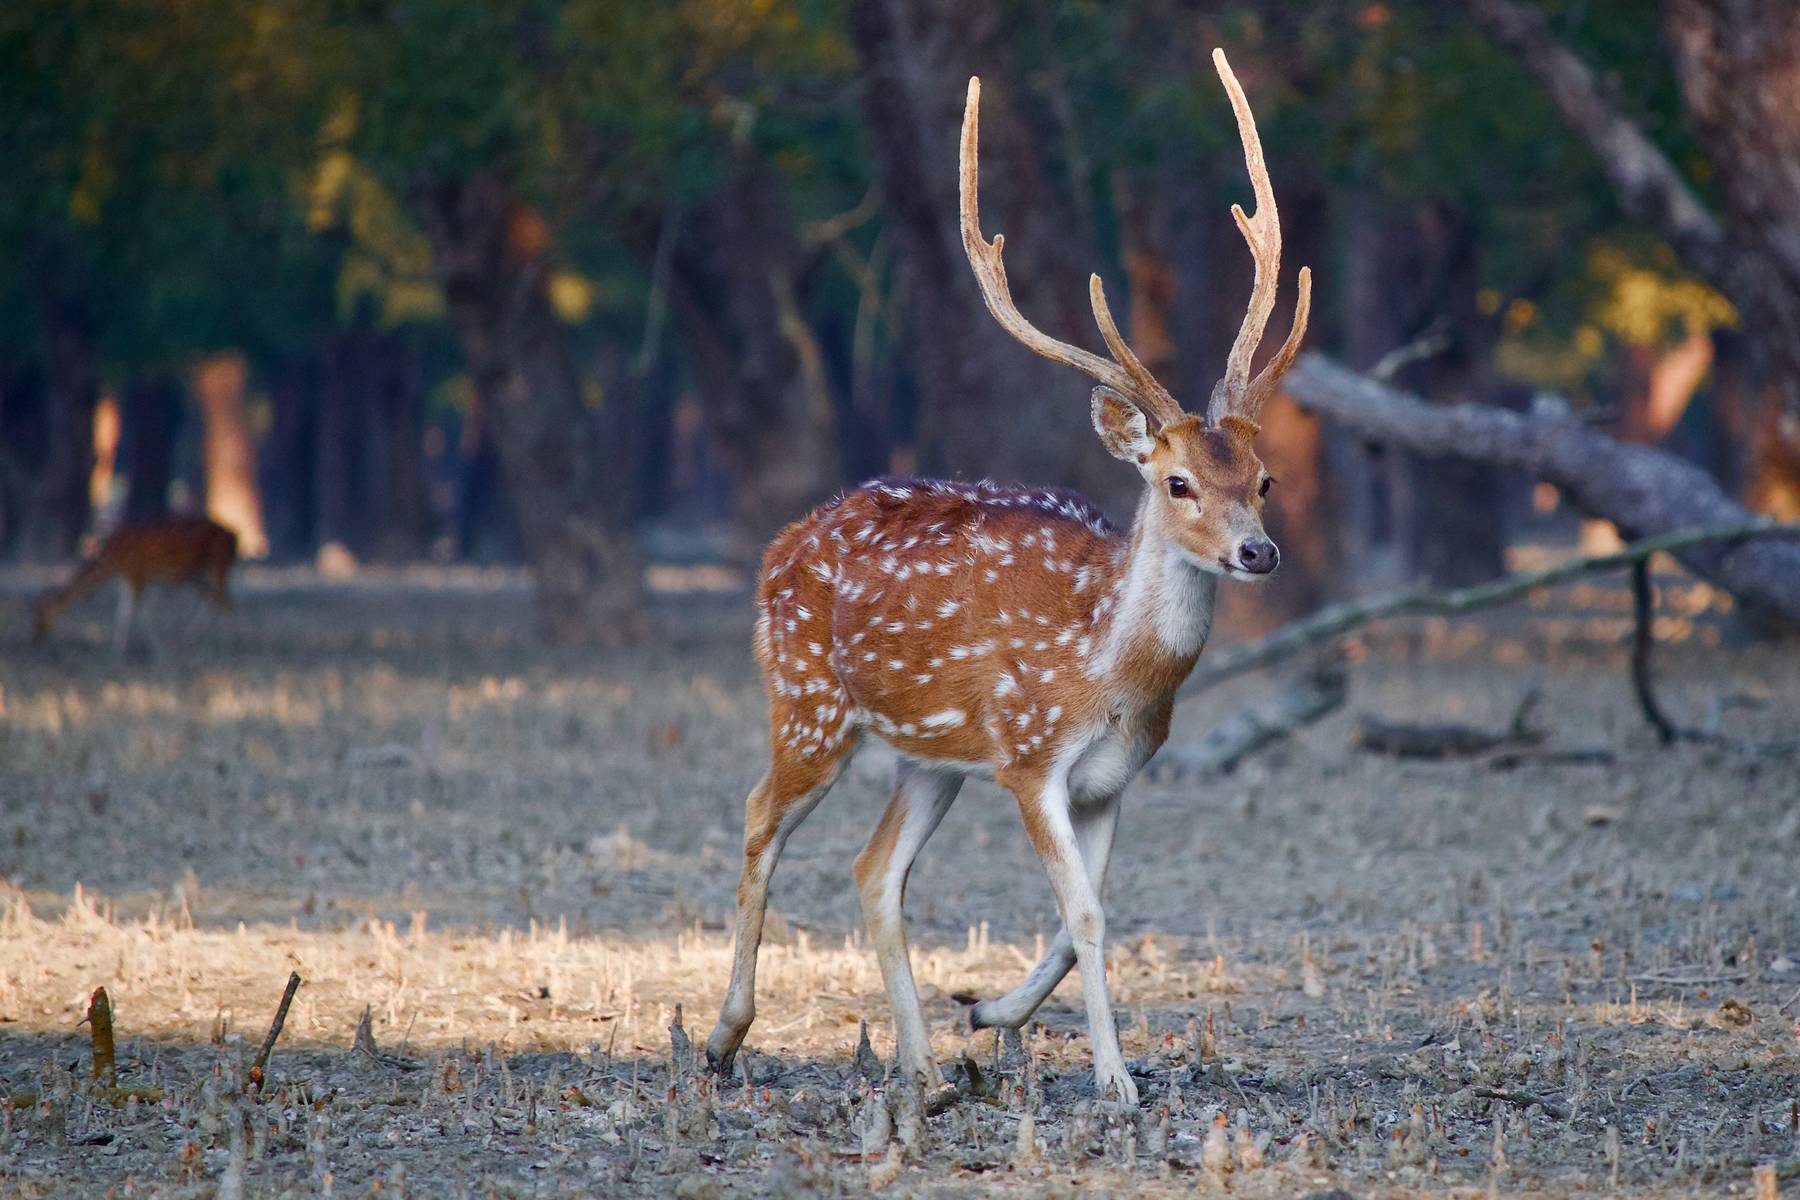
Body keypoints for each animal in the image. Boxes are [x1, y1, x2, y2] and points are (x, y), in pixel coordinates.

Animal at [34, 510, 237, 651]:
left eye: (42, 614)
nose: (36, 639)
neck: (111, 563)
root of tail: (234, 537)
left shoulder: (136, 574)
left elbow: (132, 612)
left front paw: (134, 648)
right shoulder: (130, 578)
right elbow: (127, 610)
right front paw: (119, 647)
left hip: (218, 565)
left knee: (225, 601)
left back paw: (225, 645)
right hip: (197, 575)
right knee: (214, 600)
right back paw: (188, 640)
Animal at [702, 49, 1310, 1108]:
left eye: (1264, 479)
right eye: (1178, 481)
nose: (1258, 552)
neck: (1109, 673)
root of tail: (779, 548)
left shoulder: (1113, 777)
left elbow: (1089, 915)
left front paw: (989, 1016)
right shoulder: (1030, 757)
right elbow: (1088, 917)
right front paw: (1115, 1080)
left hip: (930, 756)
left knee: (873, 869)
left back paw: (923, 1067)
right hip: (811, 703)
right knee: (757, 818)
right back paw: (723, 1036)